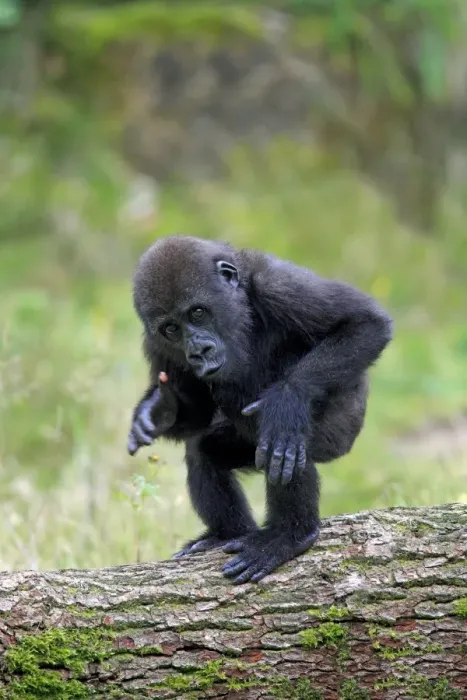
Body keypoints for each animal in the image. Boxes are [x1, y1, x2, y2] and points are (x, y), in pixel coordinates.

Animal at [127, 235, 393, 583]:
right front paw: (159, 409)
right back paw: (227, 534)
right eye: (171, 329)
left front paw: (286, 401)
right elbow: (195, 415)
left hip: (338, 434)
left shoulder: (278, 285)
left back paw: (290, 535)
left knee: (287, 441)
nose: (198, 351)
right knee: (204, 449)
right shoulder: (154, 343)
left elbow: (365, 323)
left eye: (197, 313)